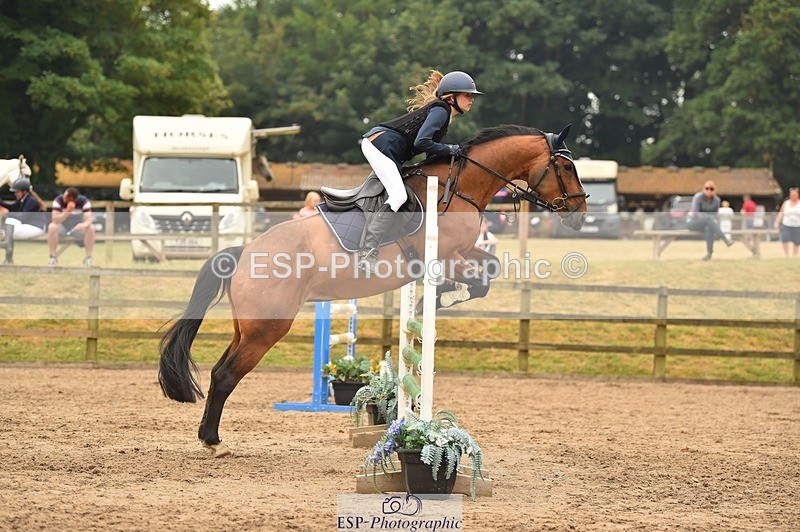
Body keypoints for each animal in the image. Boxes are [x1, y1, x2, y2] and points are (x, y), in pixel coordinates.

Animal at [158, 124, 587, 457]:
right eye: (566, 166)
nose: (580, 215)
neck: (460, 185)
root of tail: (244, 252)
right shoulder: (446, 257)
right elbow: (480, 278)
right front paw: (443, 297)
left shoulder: (464, 253)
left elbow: (490, 269)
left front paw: (442, 298)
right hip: (267, 328)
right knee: (226, 375)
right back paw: (212, 442)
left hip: (247, 327)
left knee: (220, 369)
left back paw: (208, 437)